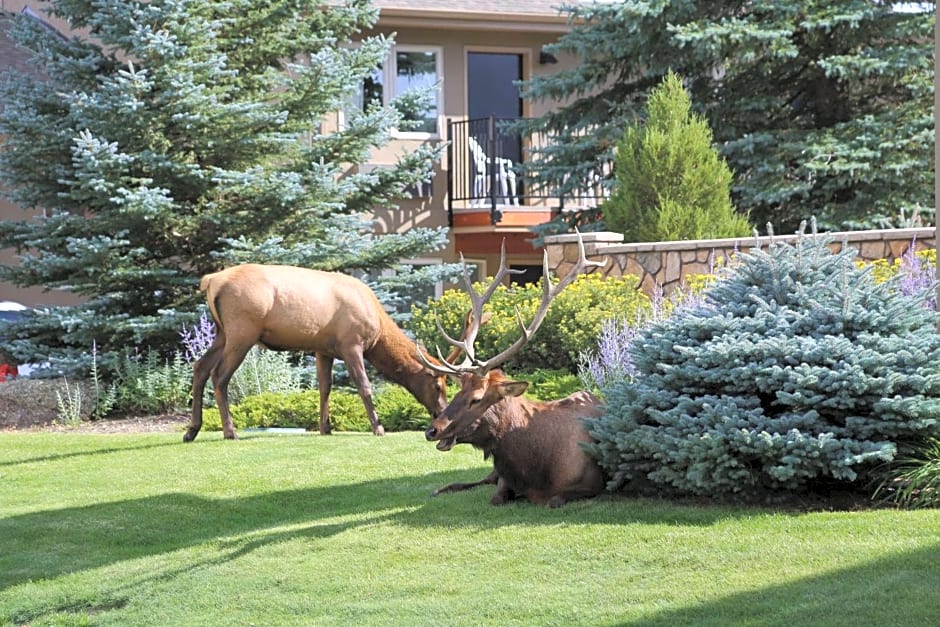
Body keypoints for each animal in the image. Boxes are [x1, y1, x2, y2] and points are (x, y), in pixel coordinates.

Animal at [182, 262, 460, 444]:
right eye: (438, 385)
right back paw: (230, 432)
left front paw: (325, 427)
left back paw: (191, 430)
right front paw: (378, 427)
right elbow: (364, 385)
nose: (440, 414)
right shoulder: (351, 343)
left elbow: (325, 387)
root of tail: (211, 281)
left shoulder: (323, 349)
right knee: (219, 376)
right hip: (243, 331)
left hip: (222, 332)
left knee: (200, 367)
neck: (378, 332)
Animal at [420, 233, 608, 508]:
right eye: (457, 393)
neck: (534, 468)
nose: (432, 430)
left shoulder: (591, 484)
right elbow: (495, 498)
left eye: (476, 399)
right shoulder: (504, 480)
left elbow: (554, 500)